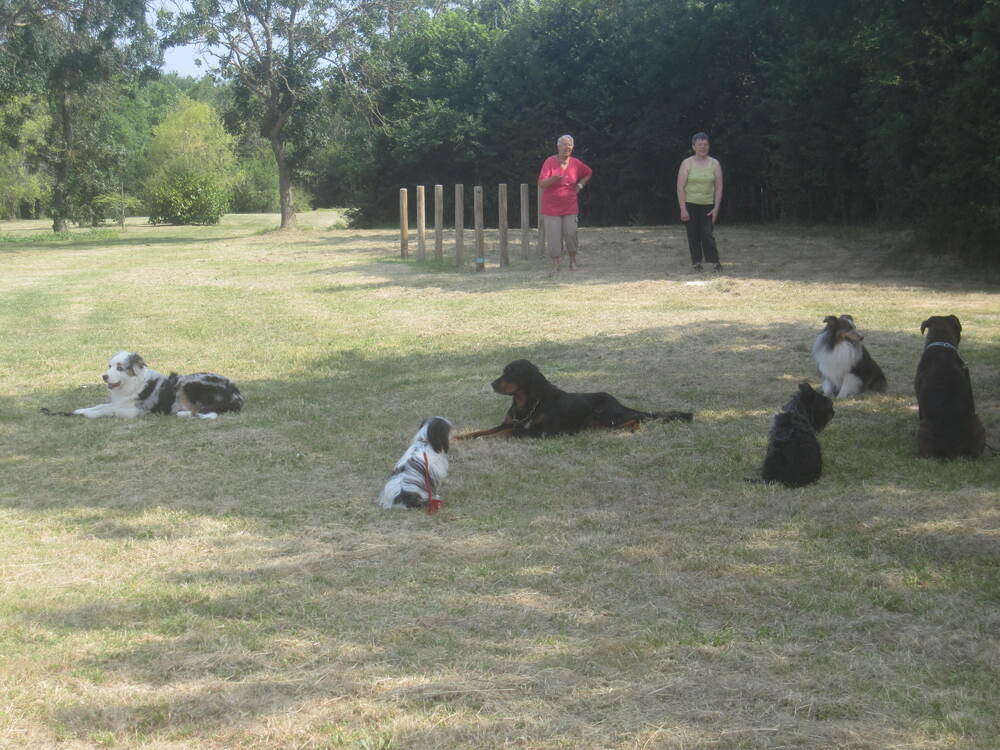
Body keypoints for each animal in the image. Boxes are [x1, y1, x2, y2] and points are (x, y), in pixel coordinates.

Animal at [54, 352, 244, 420]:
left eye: (120, 368)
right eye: (109, 366)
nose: (104, 377)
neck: (133, 384)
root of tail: (236, 394)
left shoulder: (133, 411)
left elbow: (107, 409)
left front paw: (89, 414)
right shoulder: (120, 402)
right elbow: (102, 405)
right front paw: (81, 410)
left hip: (187, 384)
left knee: (197, 410)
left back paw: (182, 413)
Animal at [458, 360, 692, 440]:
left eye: (513, 372)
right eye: (503, 371)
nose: (492, 384)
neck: (528, 403)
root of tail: (617, 401)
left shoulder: (543, 432)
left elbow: (507, 432)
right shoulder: (508, 422)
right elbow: (484, 430)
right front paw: (462, 437)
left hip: (607, 416)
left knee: (635, 418)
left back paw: (635, 430)